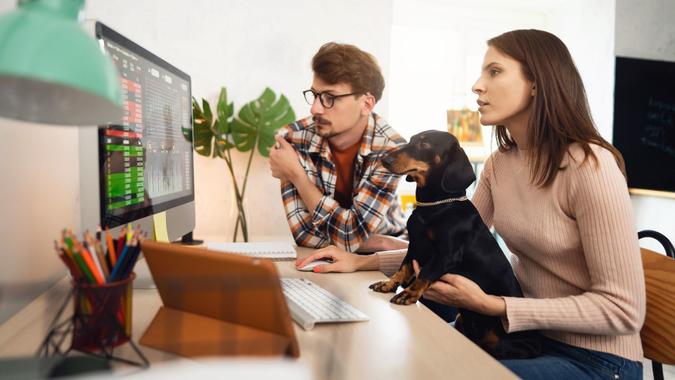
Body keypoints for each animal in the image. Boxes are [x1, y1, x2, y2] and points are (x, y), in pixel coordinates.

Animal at [372, 131, 540, 360]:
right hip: (462, 321)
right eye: (412, 139)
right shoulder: (414, 246)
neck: (435, 207)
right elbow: (403, 267)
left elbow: (425, 273)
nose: (384, 159)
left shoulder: (446, 255)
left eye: (425, 144)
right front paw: (388, 283)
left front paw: (408, 293)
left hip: (502, 346)